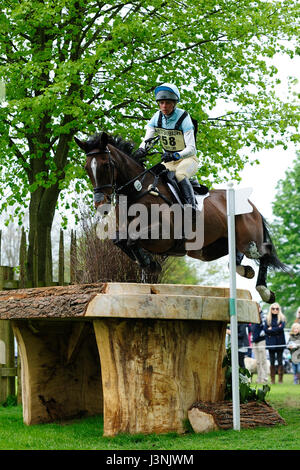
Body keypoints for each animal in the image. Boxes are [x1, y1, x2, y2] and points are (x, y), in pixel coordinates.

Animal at [74, 131, 288, 304]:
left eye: (106, 165)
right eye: (86, 167)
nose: (101, 205)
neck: (138, 191)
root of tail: (252, 206)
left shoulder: (164, 234)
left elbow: (131, 239)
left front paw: (150, 264)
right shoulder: (127, 231)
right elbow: (120, 240)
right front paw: (147, 263)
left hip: (249, 240)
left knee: (264, 252)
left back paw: (265, 291)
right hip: (207, 249)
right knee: (235, 259)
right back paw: (246, 271)